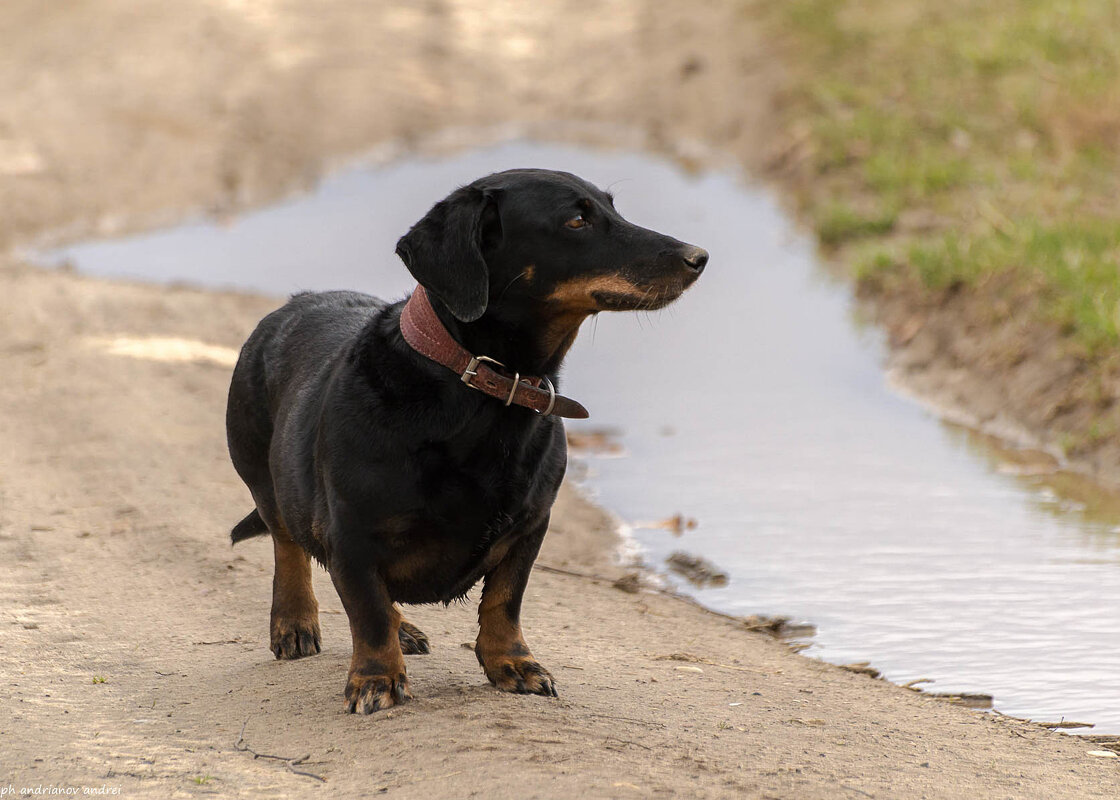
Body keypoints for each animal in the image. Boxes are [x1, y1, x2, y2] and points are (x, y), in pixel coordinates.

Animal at [222, 168, 703, 712]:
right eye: (576, 220)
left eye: (612, 207)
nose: (699, 257)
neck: (481, 384)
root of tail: (294, 302)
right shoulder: (350, 531)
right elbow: (367, 611)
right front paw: (376, 678)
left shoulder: (530, 526)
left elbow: (504, 601)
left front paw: (511, 663)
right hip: (264, 476)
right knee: (288, 546)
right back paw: (294, 622)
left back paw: (404, 629)